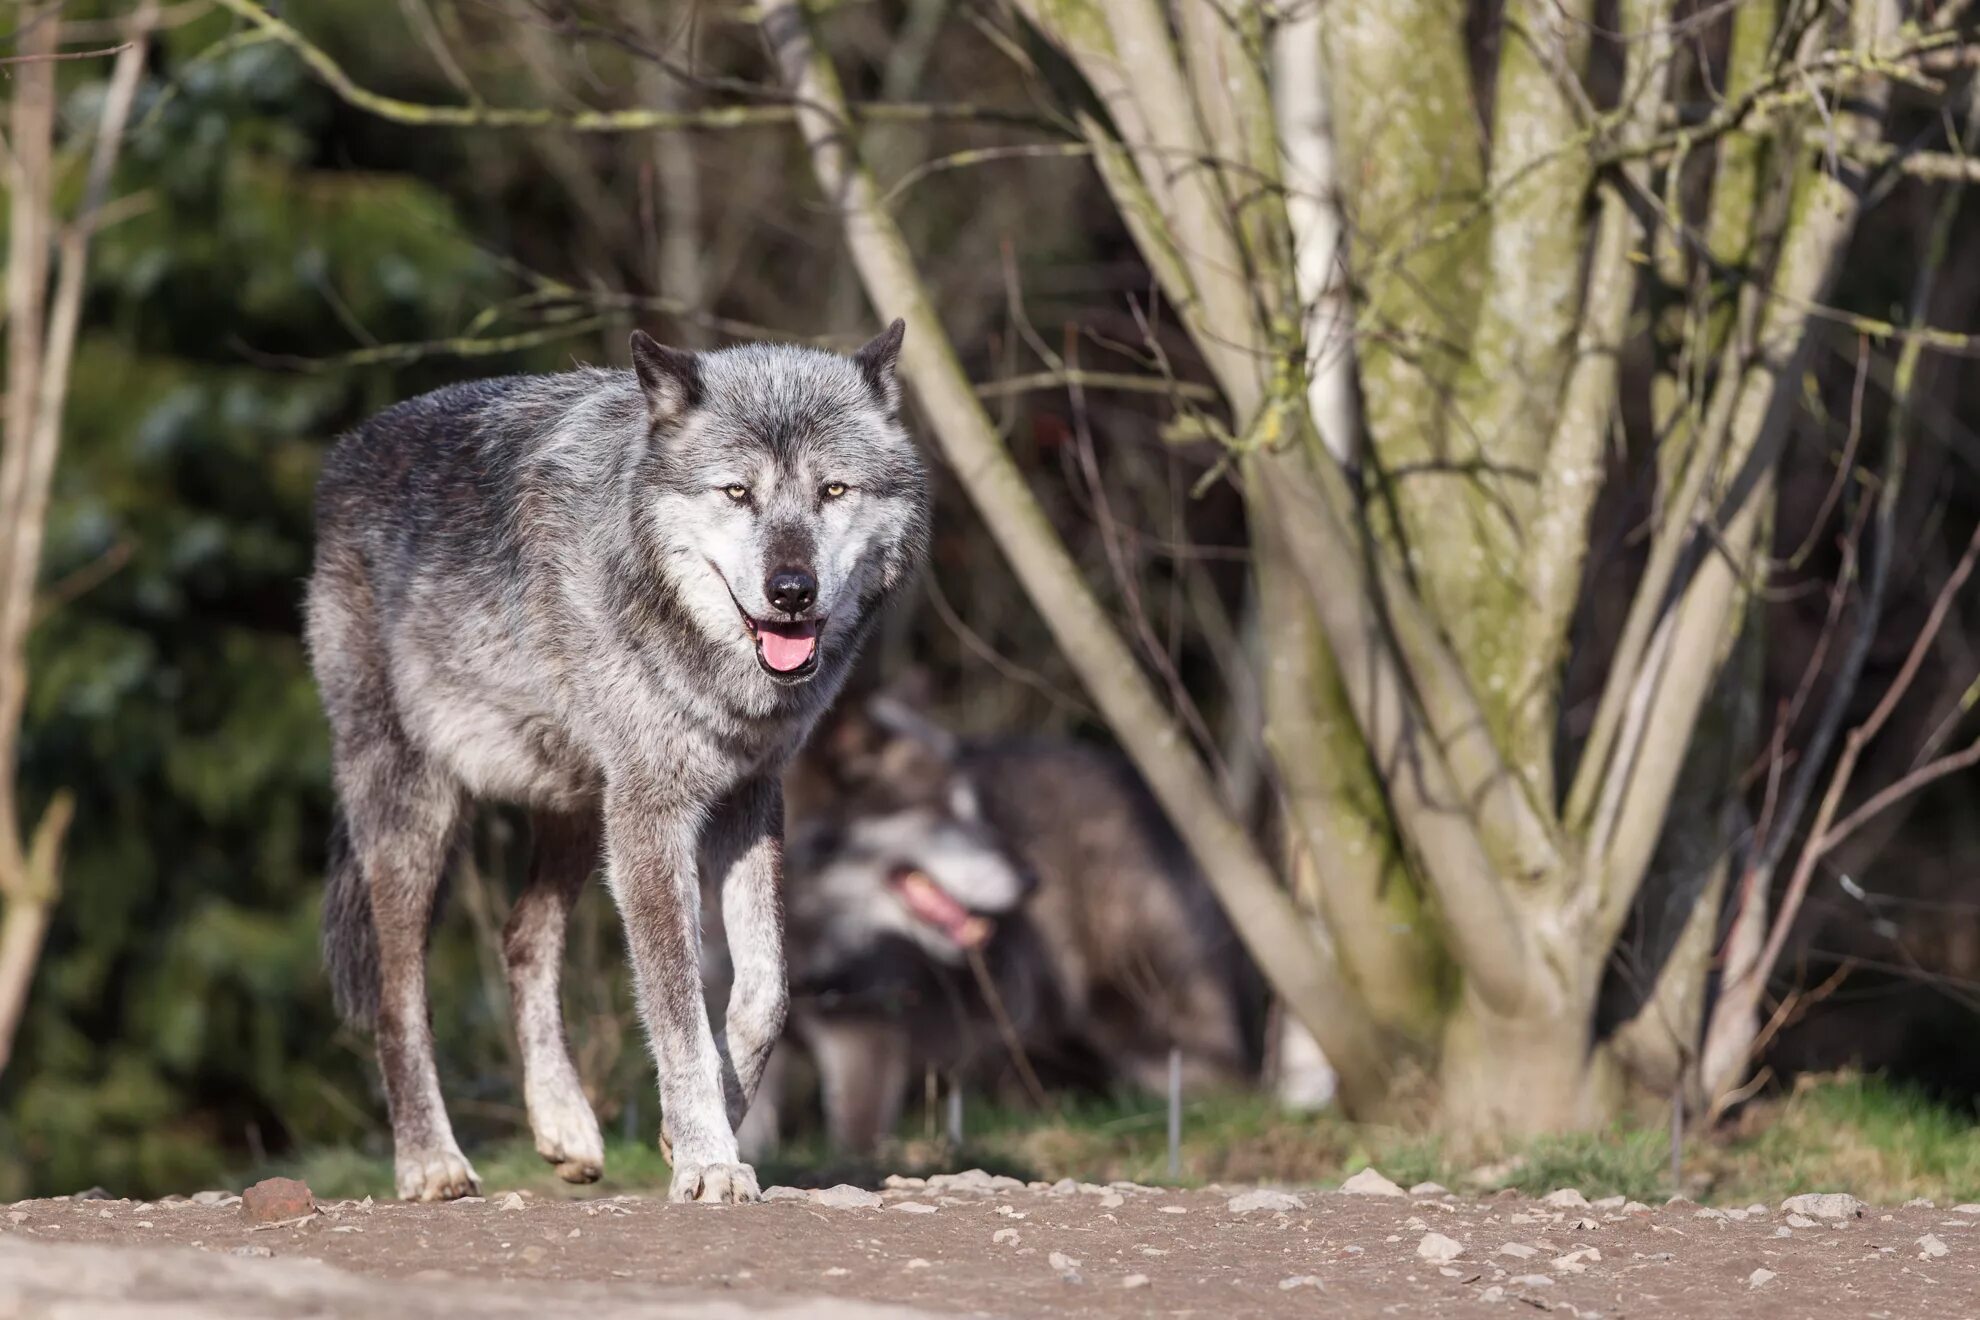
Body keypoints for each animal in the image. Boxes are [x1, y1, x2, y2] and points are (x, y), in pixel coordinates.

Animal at [304, 322, 930, 1211]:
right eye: (736, 493)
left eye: (834, 490)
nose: (791, 590)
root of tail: (348, 453)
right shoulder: (650, 815)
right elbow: (675, 1007)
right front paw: (708, 1158)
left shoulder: (747, 799)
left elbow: (763, 995)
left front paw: (701, 1123)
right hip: (417, 813)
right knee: (401, 992)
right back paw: (430, 1163)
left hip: (575, 809)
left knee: (522, 936)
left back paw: (564, 1127)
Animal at [732, 692, 1267, 1155]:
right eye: (944, 810)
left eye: (972, 808)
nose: (1032, 880)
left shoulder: (866, 1039)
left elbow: (854, 1142)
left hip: (1141, 1024)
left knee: (1228, 1088)